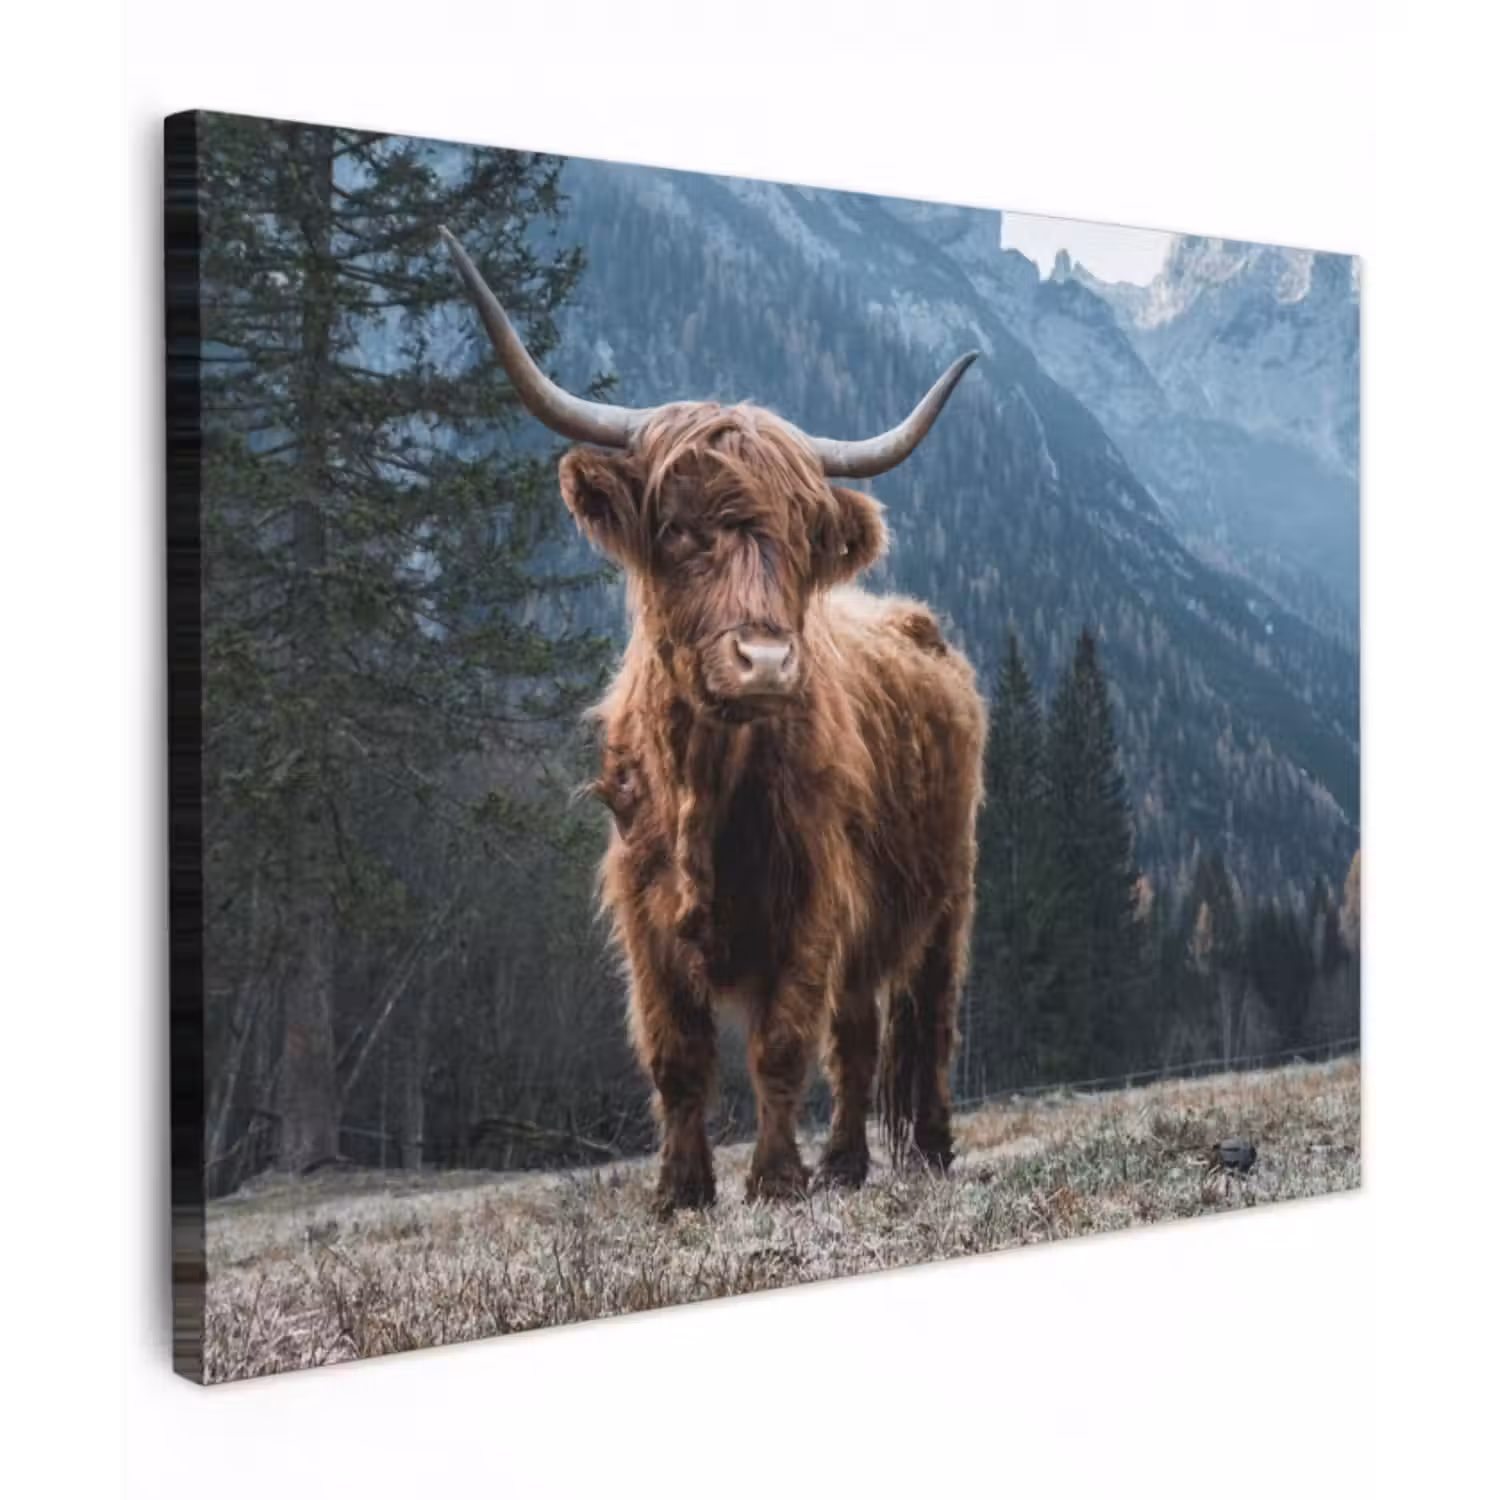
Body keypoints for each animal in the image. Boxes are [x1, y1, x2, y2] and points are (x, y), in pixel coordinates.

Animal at [441, 226, 988, 1216]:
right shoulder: (642, 907)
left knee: (926, 1020)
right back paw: (845, 1163)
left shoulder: (812, 897)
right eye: (679, 528)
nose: (766, 662)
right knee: (857, 1034)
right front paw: (681, 1191)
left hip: (946, 893)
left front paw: (773, 1179)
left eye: (803, 537)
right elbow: (677, 1055)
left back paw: (923, 1149)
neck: (705, 776)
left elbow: (780, 1044)